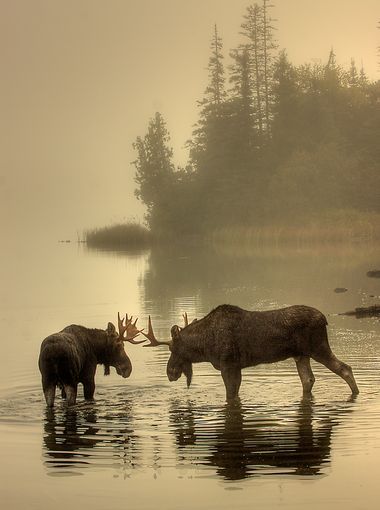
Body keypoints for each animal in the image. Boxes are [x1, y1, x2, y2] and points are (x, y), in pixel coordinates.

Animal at [142, 304, 360, 400]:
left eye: (172, 348)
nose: (170, 372)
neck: (204, 346)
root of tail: (325, 319)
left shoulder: (228, 364)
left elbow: (231, 394)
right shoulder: (236, 366)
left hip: (317, 347)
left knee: (345, 368)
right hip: (301, 355)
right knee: (308, 379)